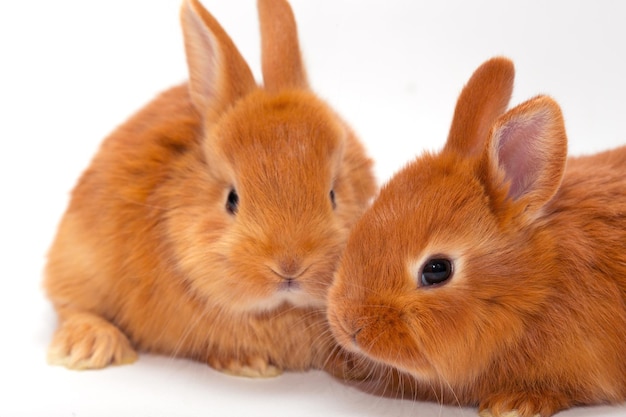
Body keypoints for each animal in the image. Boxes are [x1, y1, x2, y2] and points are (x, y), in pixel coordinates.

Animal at [45, 0, 376, 380]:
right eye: (232, 199)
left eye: (333, 195)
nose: (290, 266)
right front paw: (250, 364)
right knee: (72, 306)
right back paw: (90, 345)